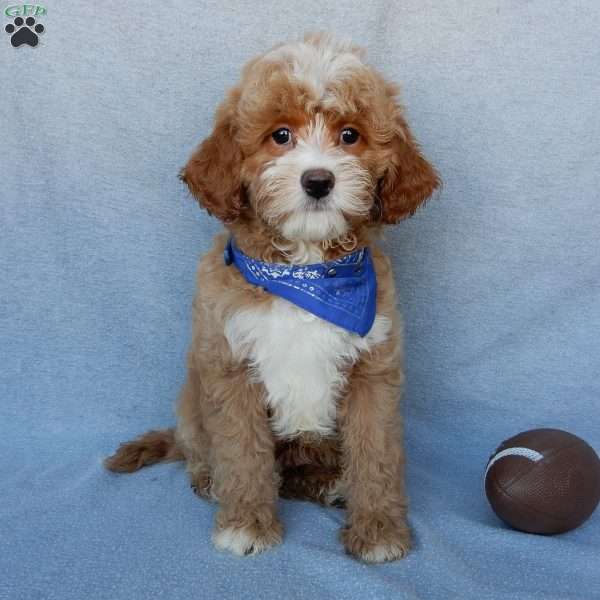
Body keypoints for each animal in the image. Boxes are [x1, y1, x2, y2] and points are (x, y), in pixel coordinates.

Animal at [105, 32, 438, 564]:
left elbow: (376, 455)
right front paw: (246, 523)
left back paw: (330, 484)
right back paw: (210, 479)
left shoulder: (373, 371)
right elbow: (242, 454)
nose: (318, 181)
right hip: (192, 406)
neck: (305, 270)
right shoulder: (230, 368)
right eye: (280, 136)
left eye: (350, 135)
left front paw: (379, 530)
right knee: (202, 451)